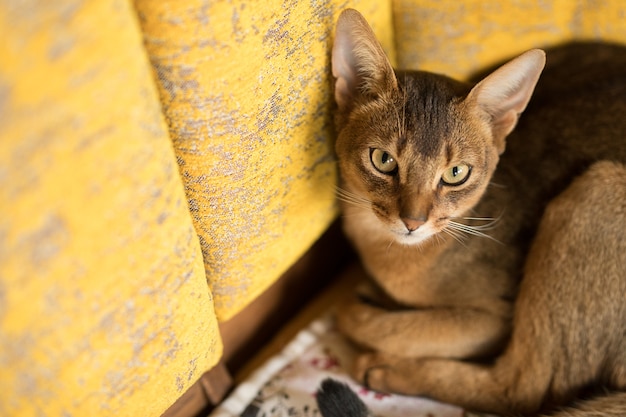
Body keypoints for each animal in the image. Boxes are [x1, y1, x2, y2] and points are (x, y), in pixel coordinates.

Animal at [316, 7, 624, 416]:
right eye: (383, 160)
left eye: (456, 173)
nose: (413, 221)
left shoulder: (495, 319)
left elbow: (396, 326)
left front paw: (362, 307)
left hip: (600, 188)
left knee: (522, 390)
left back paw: (385, 369)